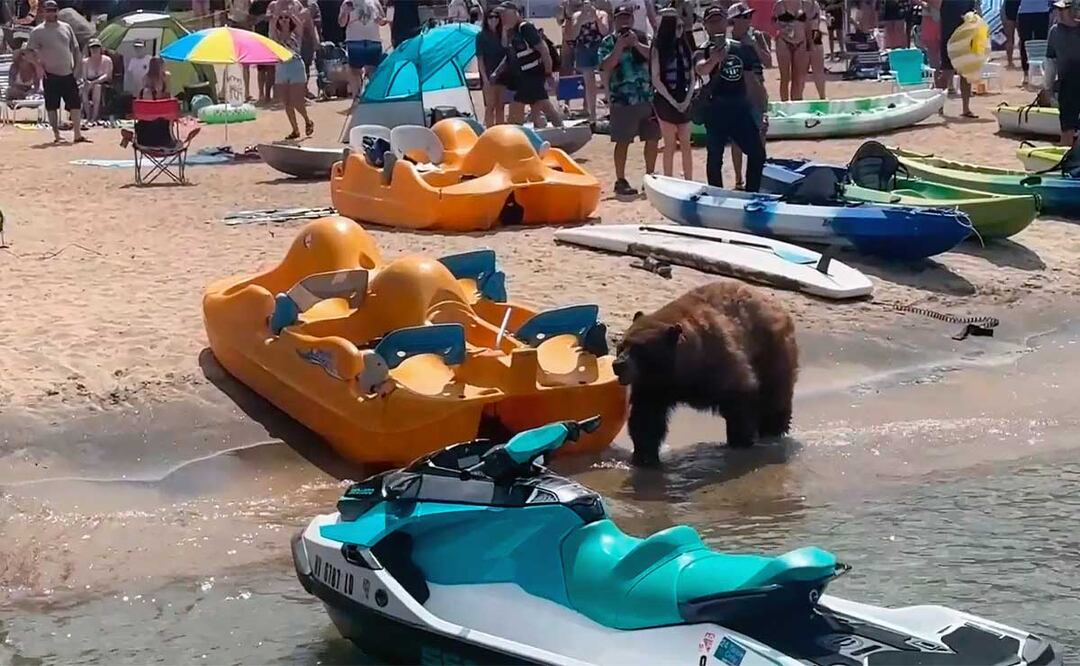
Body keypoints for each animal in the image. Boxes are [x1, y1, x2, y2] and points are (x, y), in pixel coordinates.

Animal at [612, 281, 799, 466]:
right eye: (621, 345)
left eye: (639, 350)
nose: (618, 365)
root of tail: (778, 306)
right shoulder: (654, 385)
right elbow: (646, 417)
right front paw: (644, 457)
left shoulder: (719, 361)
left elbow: (740, 395)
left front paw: (740, 440)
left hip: (772, 351)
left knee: (775, 395)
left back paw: (773, 431)